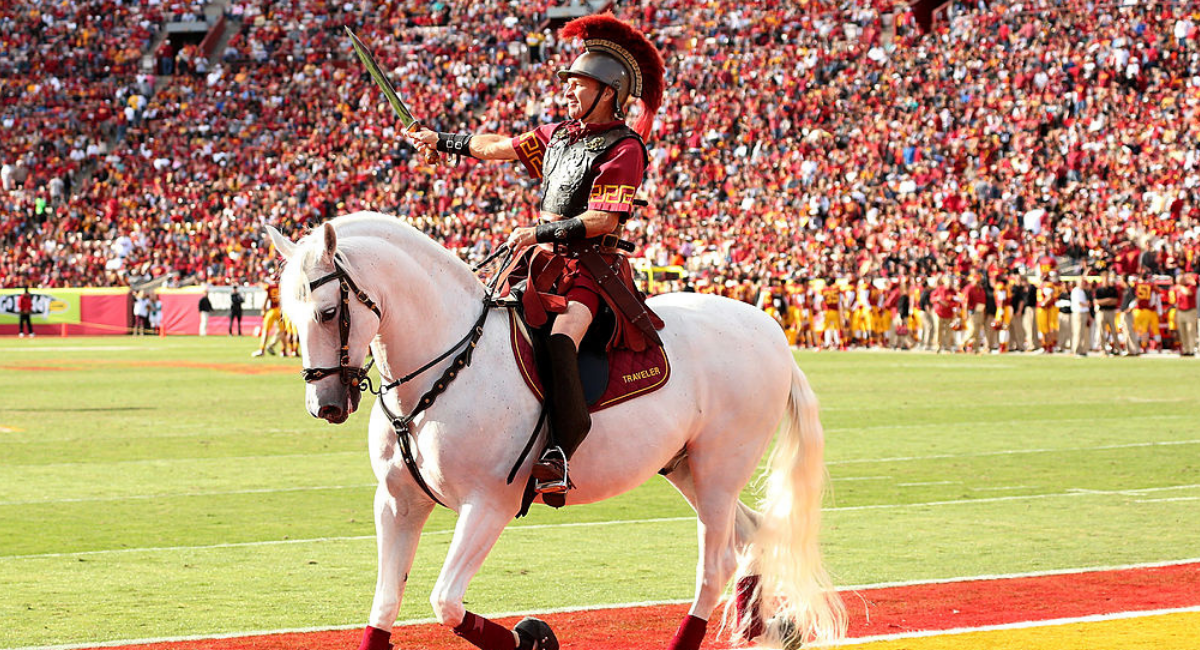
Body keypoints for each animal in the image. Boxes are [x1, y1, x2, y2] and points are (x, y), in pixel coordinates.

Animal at [265, 215, 844, 650]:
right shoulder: (397, 503)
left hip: (721, 468)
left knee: (716, 563)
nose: (325, 405)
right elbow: (386, 603)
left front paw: (534, 638)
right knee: (753, 534)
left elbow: (446, 602)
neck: (442, 369)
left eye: (329, 312)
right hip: (687, 467)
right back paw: (765, 628)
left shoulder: (488, 505)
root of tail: (771, 328)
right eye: (291, 315)